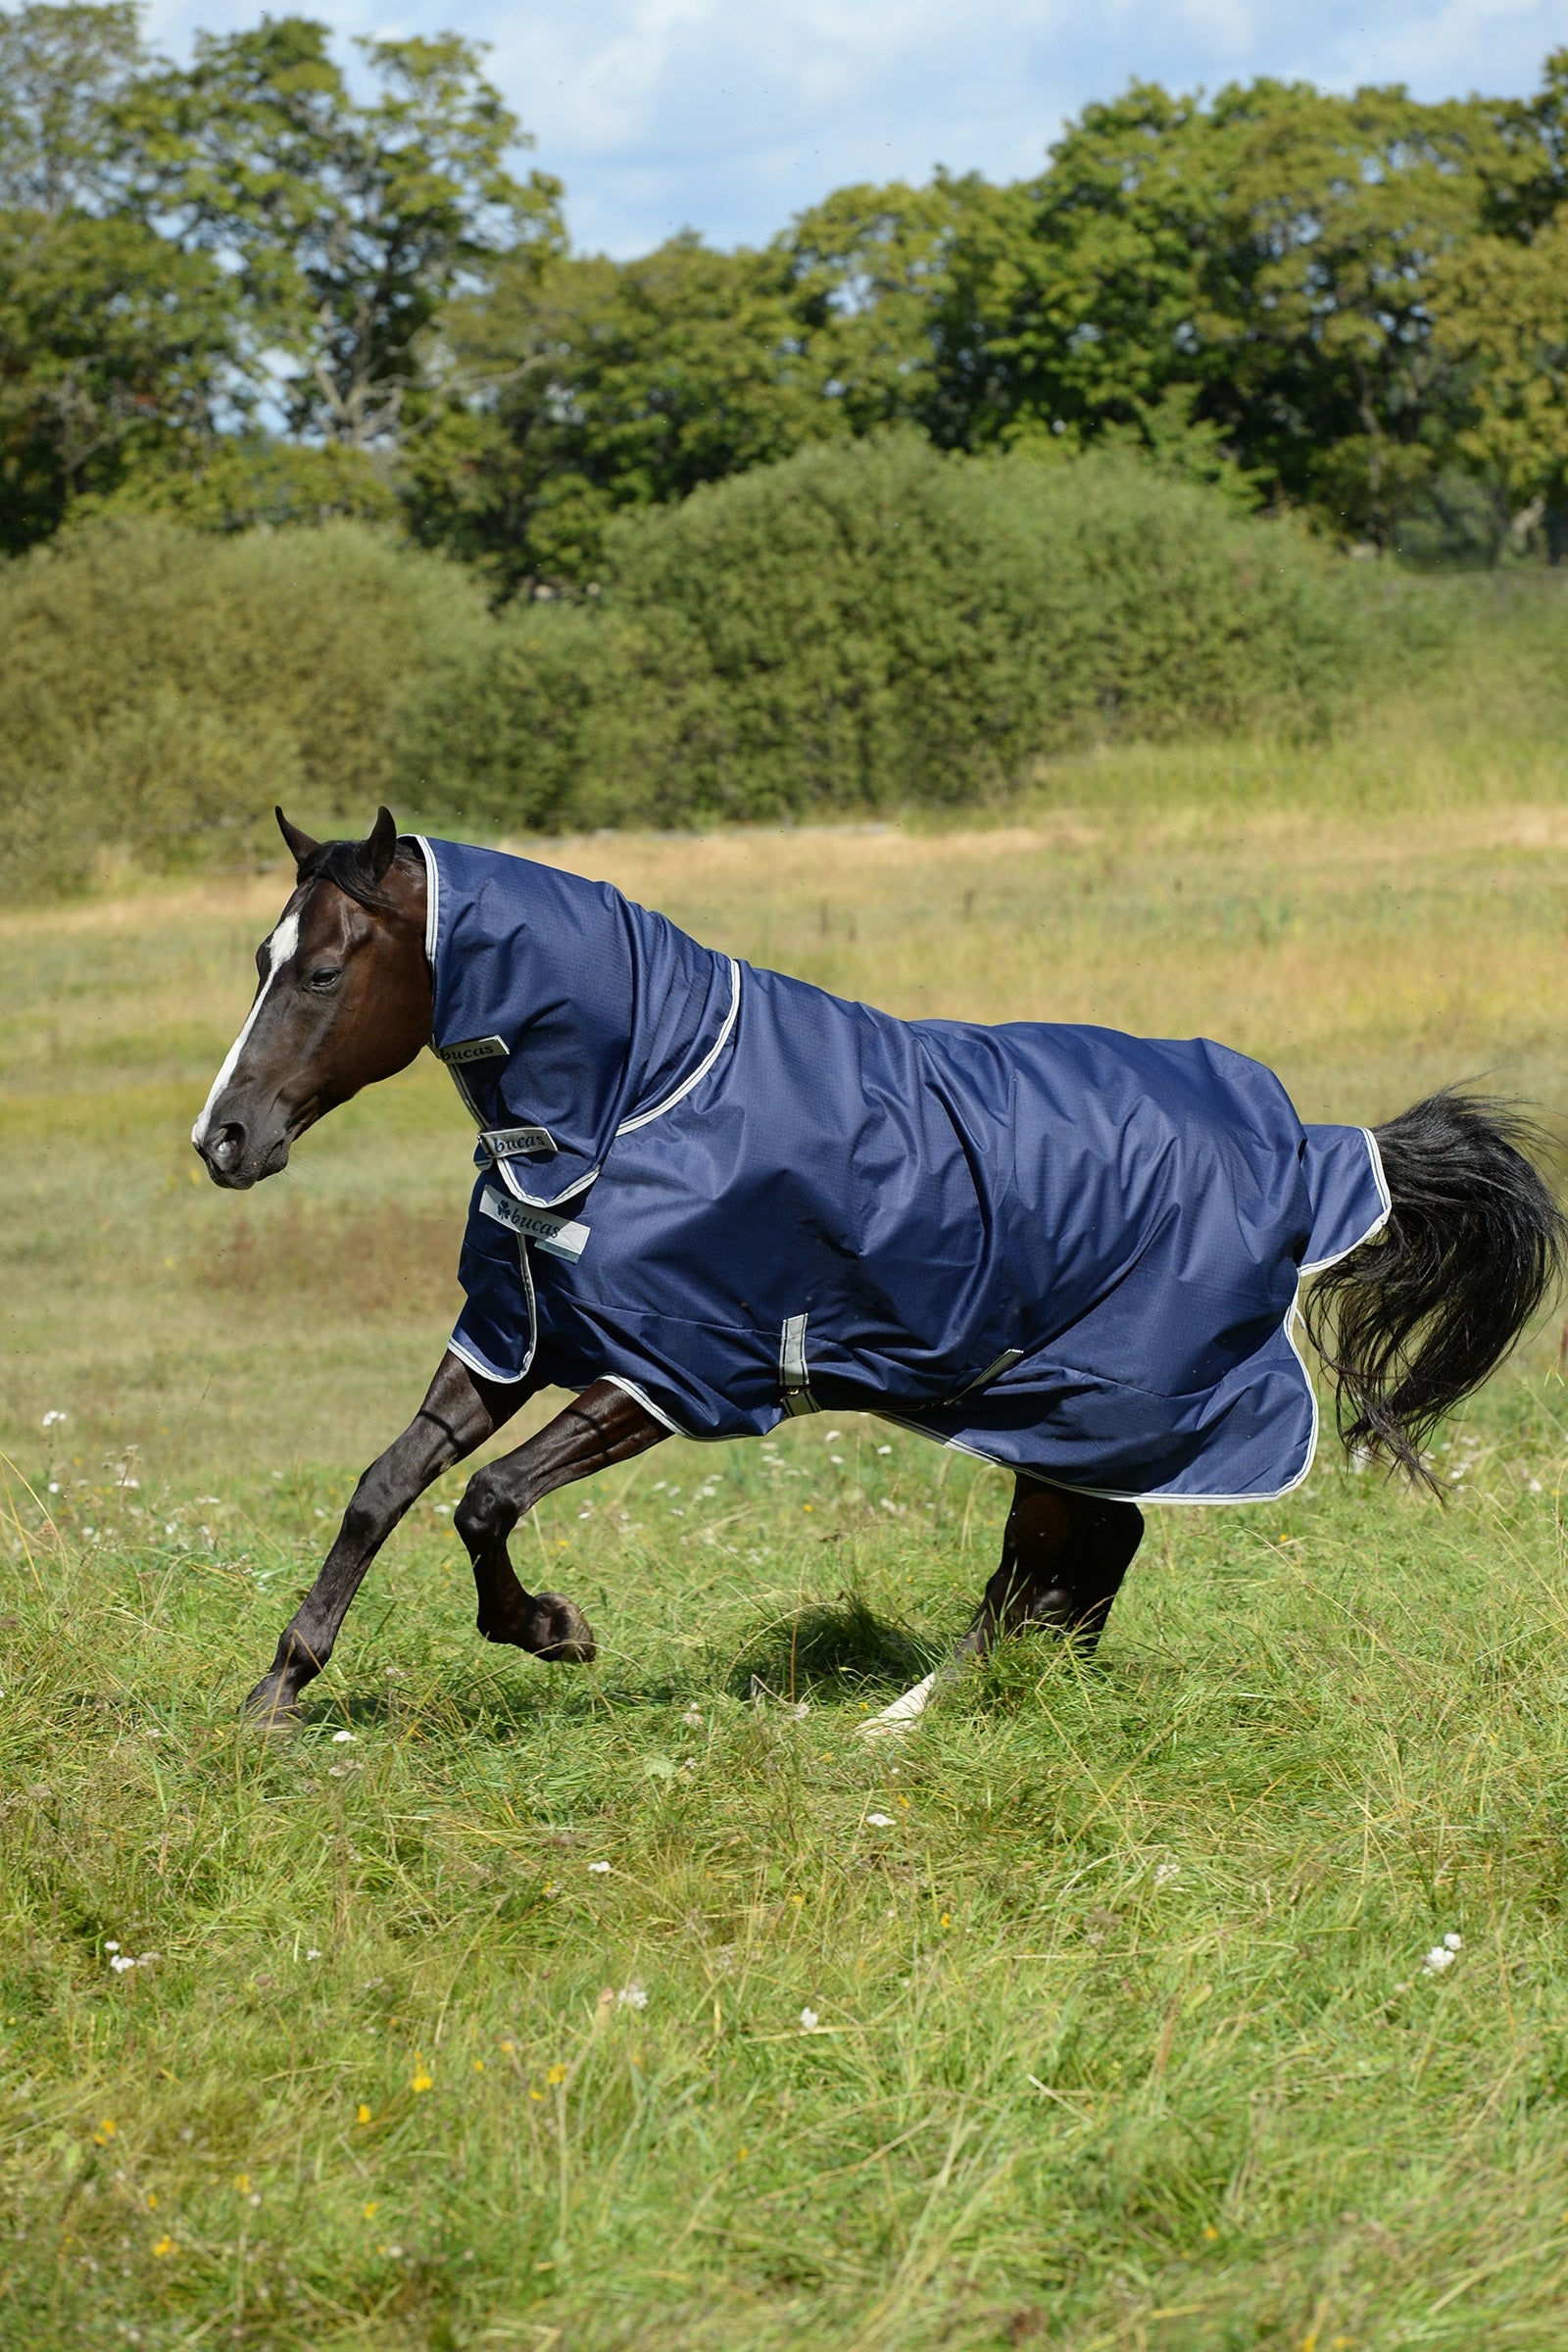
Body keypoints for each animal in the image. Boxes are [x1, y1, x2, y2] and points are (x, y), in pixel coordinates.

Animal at [193, 809, 1566, 1733]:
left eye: (323, 971)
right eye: (256, 962)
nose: (224, 1139)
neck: (637, 1097)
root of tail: (1312, 1145)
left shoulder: (669, 1374)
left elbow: (485, 1501)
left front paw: (552, 1632)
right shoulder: (517, 1339)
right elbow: (383, 1488)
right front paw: (279, 1687)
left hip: (1084, 1408)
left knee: (1052, 1562)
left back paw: (908, 1722)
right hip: (1055, 1416)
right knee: (1084, 1555)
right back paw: (989, 1701)